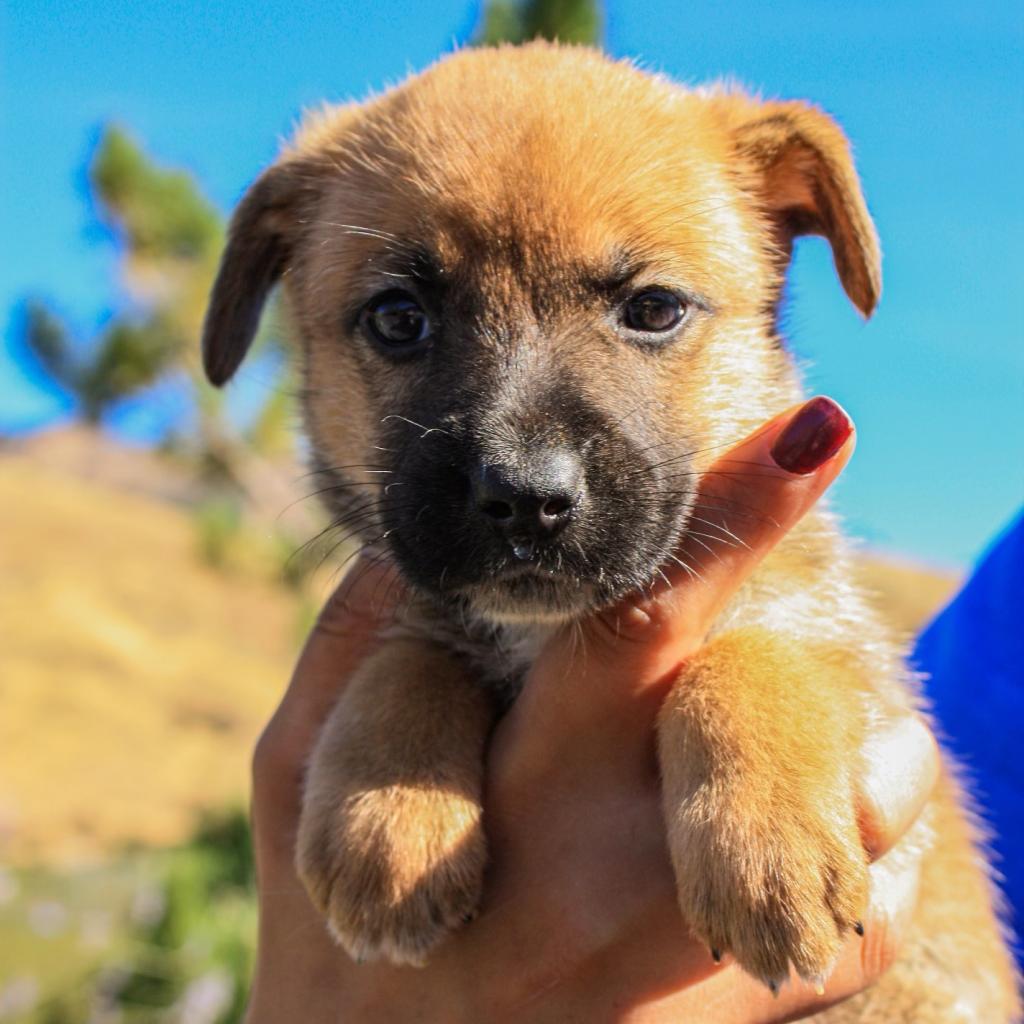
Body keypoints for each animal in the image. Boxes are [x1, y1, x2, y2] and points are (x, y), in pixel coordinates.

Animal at [199, 44, 1015, 1019]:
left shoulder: (862, 671)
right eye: (398, 319)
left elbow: (755, 651)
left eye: (654, 308)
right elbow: (409, 654)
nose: (523, 498)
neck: (547, 636)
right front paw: (385, 817)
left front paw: (764, 843)